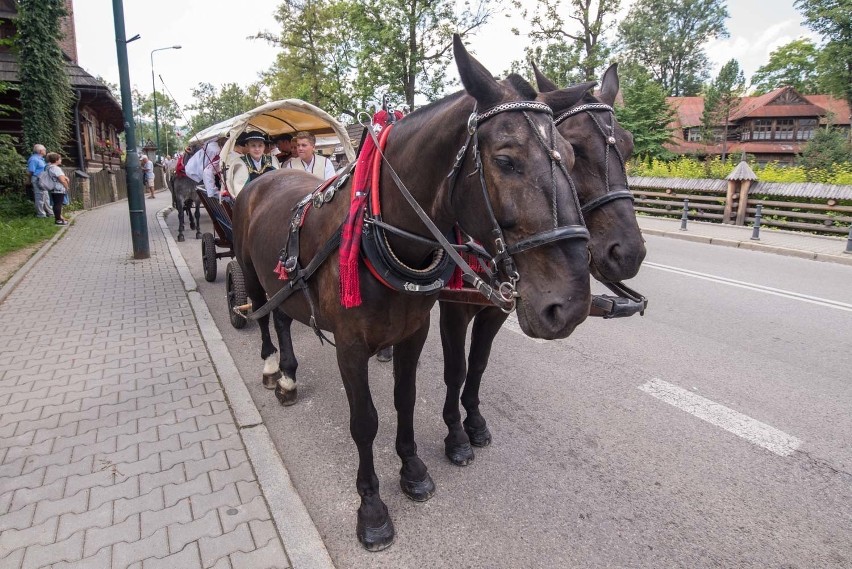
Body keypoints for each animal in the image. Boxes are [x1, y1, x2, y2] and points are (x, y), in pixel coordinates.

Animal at [231, 36, 592, 552]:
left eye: (571, 155)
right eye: (506, 159)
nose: (571, 306)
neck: (382, 234)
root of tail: (265, 175)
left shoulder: (413, 332)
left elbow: (405, 398)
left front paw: (414, 469)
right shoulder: (350, 347)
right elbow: (365, 421)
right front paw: (372, 508)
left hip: (284, 281)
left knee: (283, 317)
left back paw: (288, 374)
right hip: (251, 270)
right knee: (262, 315)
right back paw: (270, 367)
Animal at [440, 65, 644, 466]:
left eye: (628, 146)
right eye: (577, 149)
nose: (629, 253)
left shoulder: (498, 308)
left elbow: (479, 363)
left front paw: (474, 421)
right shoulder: (453, 308)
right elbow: (456, 369)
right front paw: (455, 434)